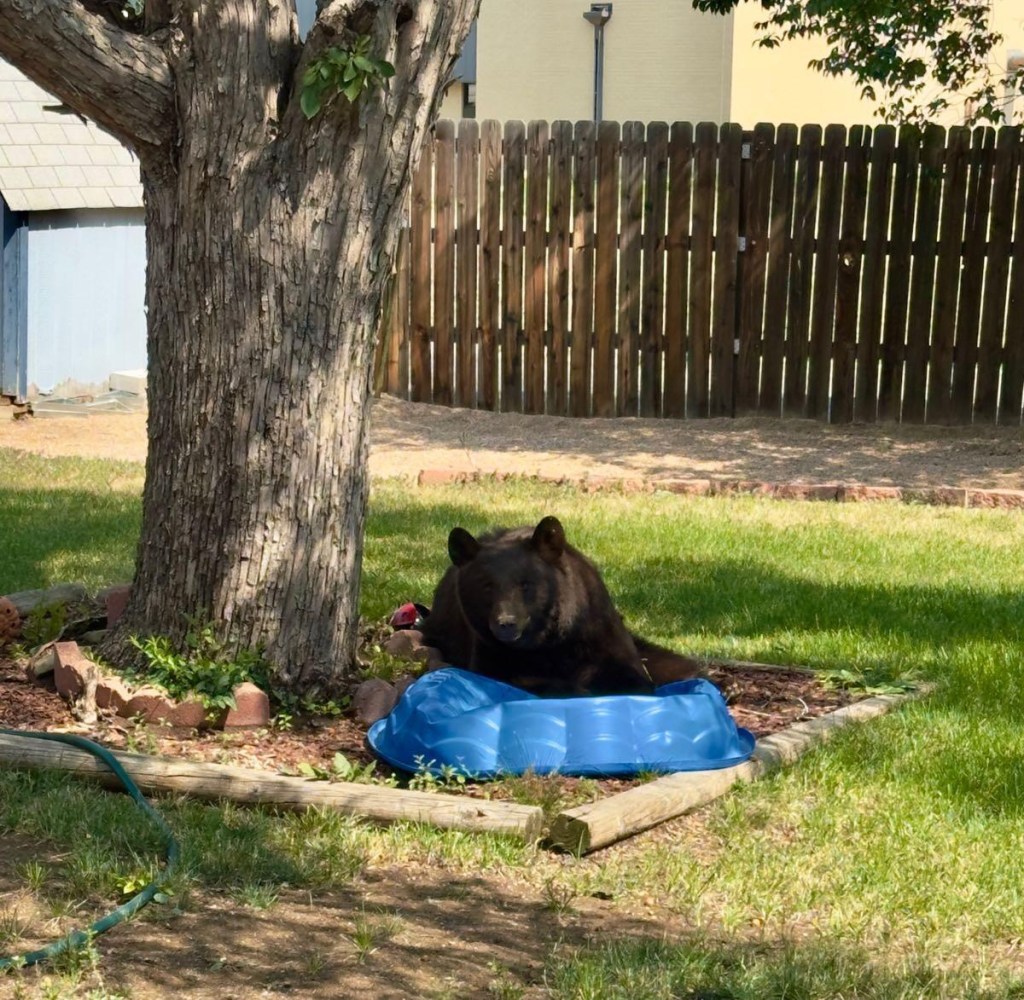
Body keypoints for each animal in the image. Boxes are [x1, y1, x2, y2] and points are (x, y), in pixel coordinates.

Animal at [420, 515, 703, 696]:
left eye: (526, 583)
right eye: (487, 585)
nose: (506, 623)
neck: (548, 641)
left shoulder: (597, 629)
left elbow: (633, 676)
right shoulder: (489, 650)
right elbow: (512, 677)